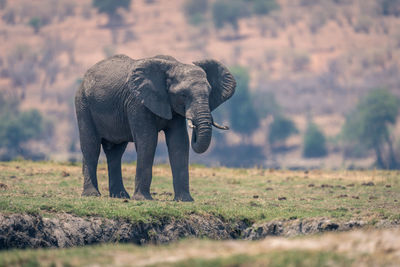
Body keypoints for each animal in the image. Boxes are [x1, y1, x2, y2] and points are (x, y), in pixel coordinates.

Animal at [75, 54, 236, 201]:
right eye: (183, 95)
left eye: (209, 93)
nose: (194, 127)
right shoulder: (138, 103)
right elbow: (148, 141)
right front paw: (143, 199)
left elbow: (179, 143)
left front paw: (184, 200)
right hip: (83, 104)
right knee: (91, 147)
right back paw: (92, 195)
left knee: (115, 152)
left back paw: (120, 196)